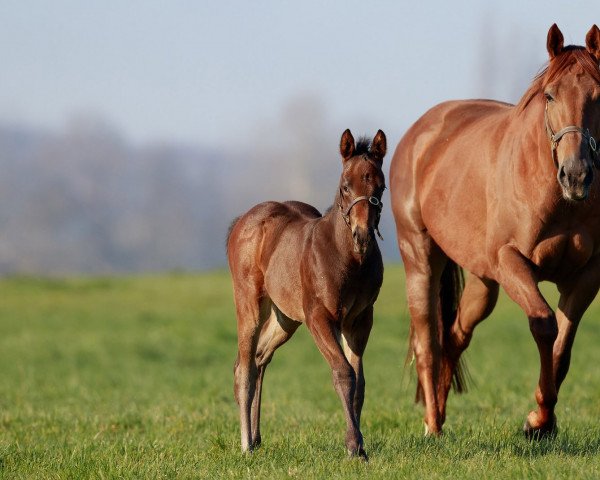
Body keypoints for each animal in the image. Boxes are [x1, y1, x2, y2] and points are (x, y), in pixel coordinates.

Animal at [227, 129, 386, 460]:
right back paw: (246, 445)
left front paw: (361, 446)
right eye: (345, 186)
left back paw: (257, 439)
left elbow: (360, 382)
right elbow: (343, 374)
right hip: (250, 303)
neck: (347, 258)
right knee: (244, 368)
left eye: (380, 186)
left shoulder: (360, 320)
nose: (362, 235)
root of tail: (243, 220)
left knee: (260, 358)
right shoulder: (319, 317)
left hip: (285, 318)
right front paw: (353, 447)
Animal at [392, 26, 600, 438]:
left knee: (455, 336)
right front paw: (539, 419)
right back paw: (432, 426)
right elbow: (545, 326)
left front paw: (542, 421)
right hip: (419, 258)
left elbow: (563, 346)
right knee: (428, 342)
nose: (576, 175)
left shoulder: (586, 276)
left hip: (482, 282)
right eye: (550, 95)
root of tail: (420, 132)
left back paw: (440, 416)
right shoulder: (511, 261)